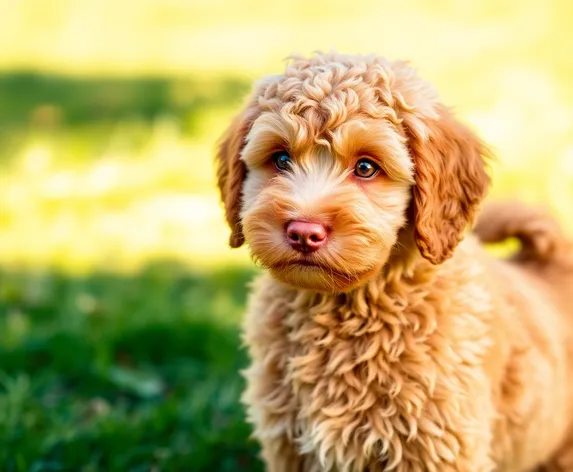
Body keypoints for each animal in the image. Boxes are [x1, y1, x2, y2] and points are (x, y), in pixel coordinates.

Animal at [213, 51, 572, 472]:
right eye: (281, 159)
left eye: (366, 167)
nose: (303, 232)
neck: (347, 308)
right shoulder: (289, 444)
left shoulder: (440, 446)